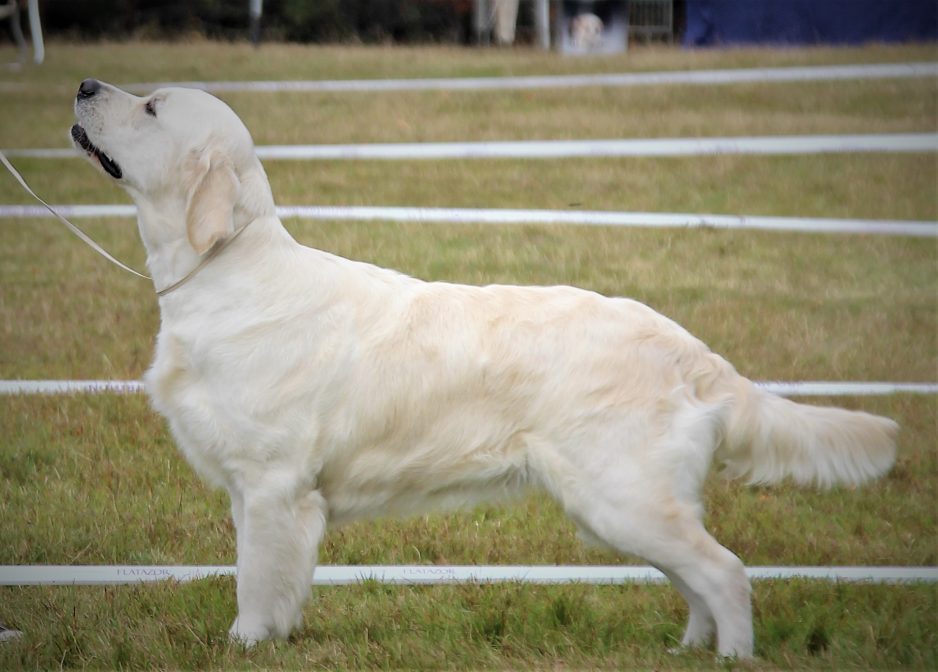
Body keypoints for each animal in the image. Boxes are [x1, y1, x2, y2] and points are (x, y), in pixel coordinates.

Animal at [69, 79, 896, 656]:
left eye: (151, 108)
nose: (80, 85)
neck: (225, 272)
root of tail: (691, 350)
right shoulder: (256, 490)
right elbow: (270, 581)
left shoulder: (273, 485)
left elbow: (255, 584)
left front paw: (243, 645)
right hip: (628, 507)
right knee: (695, 579)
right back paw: (687, 651)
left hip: (622, 496)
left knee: (724, 572)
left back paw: (729, 657)